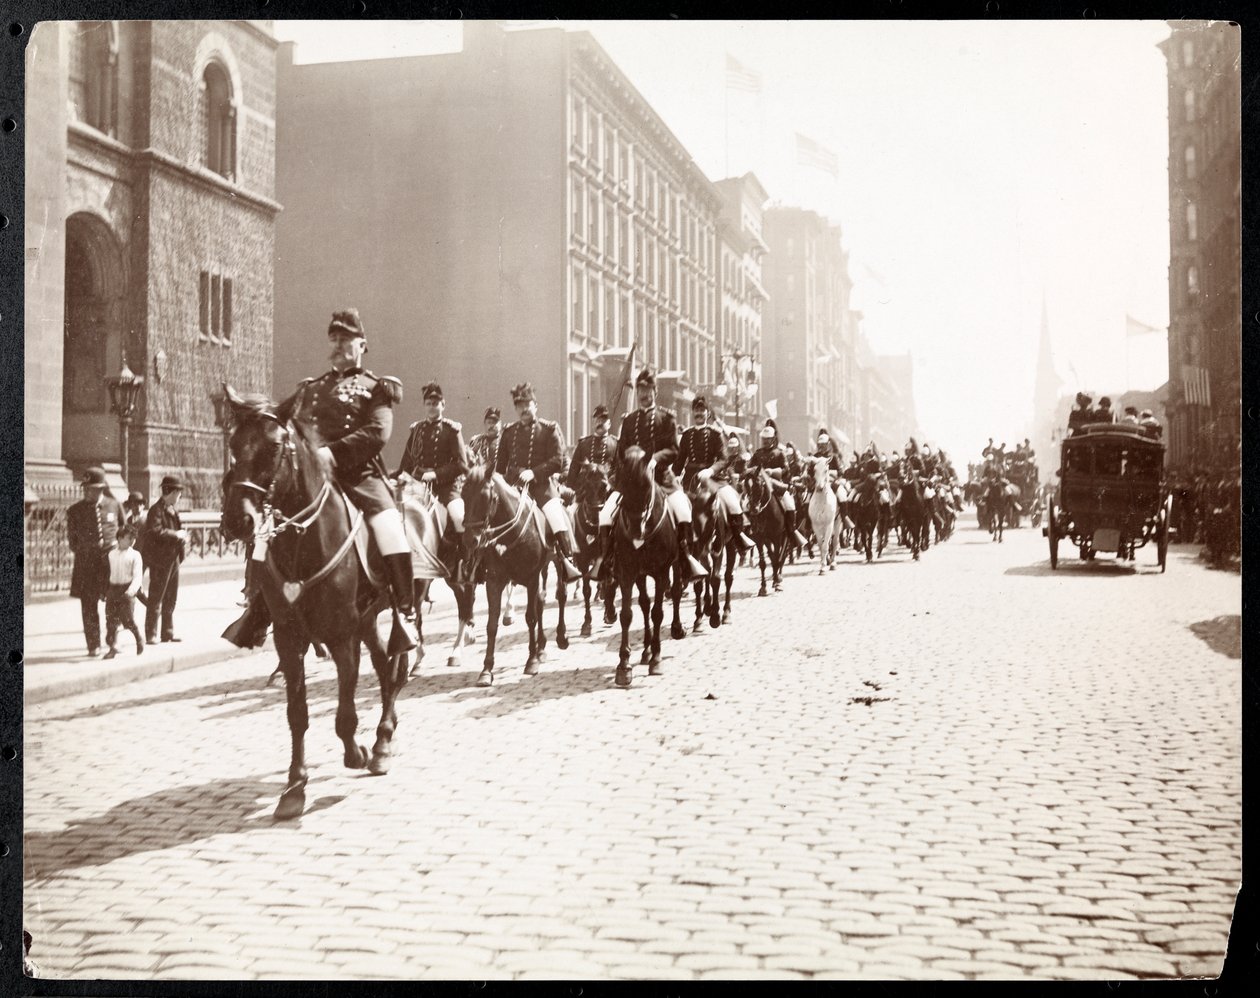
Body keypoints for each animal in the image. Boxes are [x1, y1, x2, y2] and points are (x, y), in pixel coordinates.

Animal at [221, 388, 405, 816]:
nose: (237, 520)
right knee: (383, 663)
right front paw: (294, 787)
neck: (304, 540)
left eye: (274, 446)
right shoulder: (289, 639)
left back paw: (382, 744)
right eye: (233, 445)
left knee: (395, 665)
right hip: (367, 620)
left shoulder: (341, 636)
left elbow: (344, 714)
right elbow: (297, 714)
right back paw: (381, 740)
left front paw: (355, 752)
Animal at [461, 468, 559, 685]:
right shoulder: (494, 581)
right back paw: (541, 648)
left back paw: (545, 647)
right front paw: (486, 670)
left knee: (542, 604)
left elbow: (531, 617)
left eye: (486, 497)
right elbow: (491, 625)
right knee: (540, 604)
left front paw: (531, 661)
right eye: (463, 495)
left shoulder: (532, 578)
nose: (471, 540)